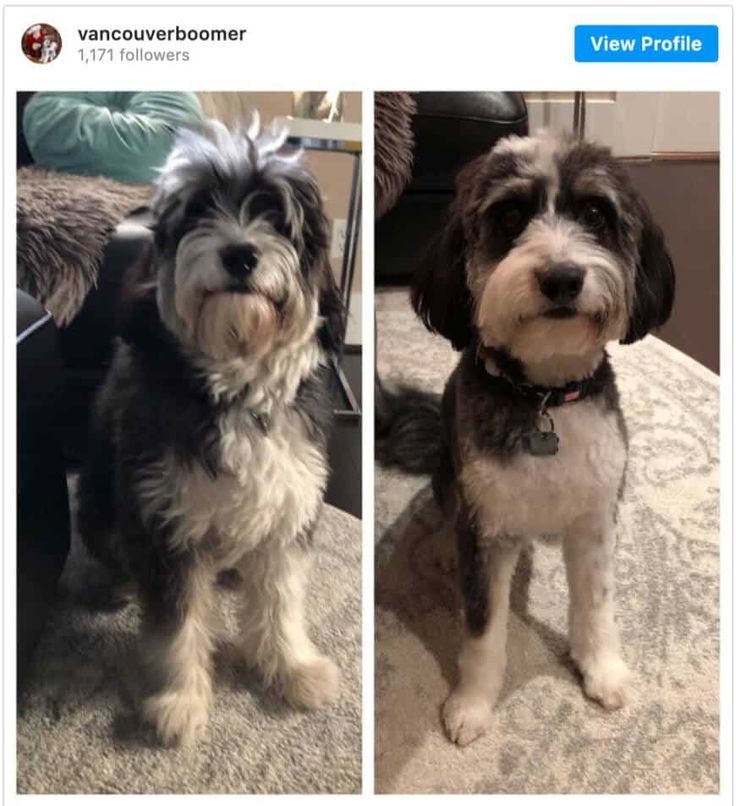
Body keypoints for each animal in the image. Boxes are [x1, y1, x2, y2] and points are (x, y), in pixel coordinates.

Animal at [77, 117, 344, 748]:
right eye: (198, 209)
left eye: (276, 216)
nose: (241, 254)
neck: (236, 387)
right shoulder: (163, 523)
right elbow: (175, 626)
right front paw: (178, 700)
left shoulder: (289, 506)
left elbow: (281, 600)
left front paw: (292, 668)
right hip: (101, 503)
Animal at [376, 131, 676, 744]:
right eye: (510, 215)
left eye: (595, 214)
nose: (562, 277)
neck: (545, 397)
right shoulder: (488, 530)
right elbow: (483, 631)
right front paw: (472, 703)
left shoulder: (595, 520)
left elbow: (596, 604)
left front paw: (601, 669)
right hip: (451, 474)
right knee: (445, 509)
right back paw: (443, 547)